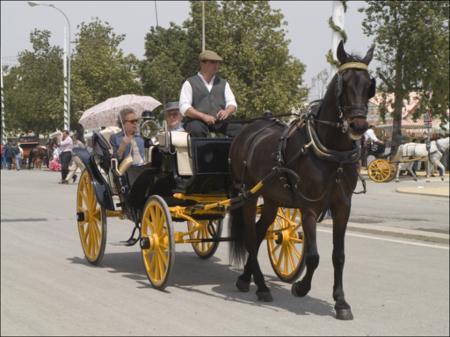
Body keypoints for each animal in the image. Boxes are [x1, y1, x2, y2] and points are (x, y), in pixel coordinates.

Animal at [229, 40, 376, 318]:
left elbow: (338, 255)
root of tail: (247, 130)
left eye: (369, 85)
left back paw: (246, 279)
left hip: (272, 199)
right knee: (251, 237)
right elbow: (313, 256)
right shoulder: (309, 207)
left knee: (259, 232)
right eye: (343, 83)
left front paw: (341, 302)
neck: (332, 153)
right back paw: (261, 285)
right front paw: (300, 287)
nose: (359, 126)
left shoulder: (343, 206)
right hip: (248, 195)